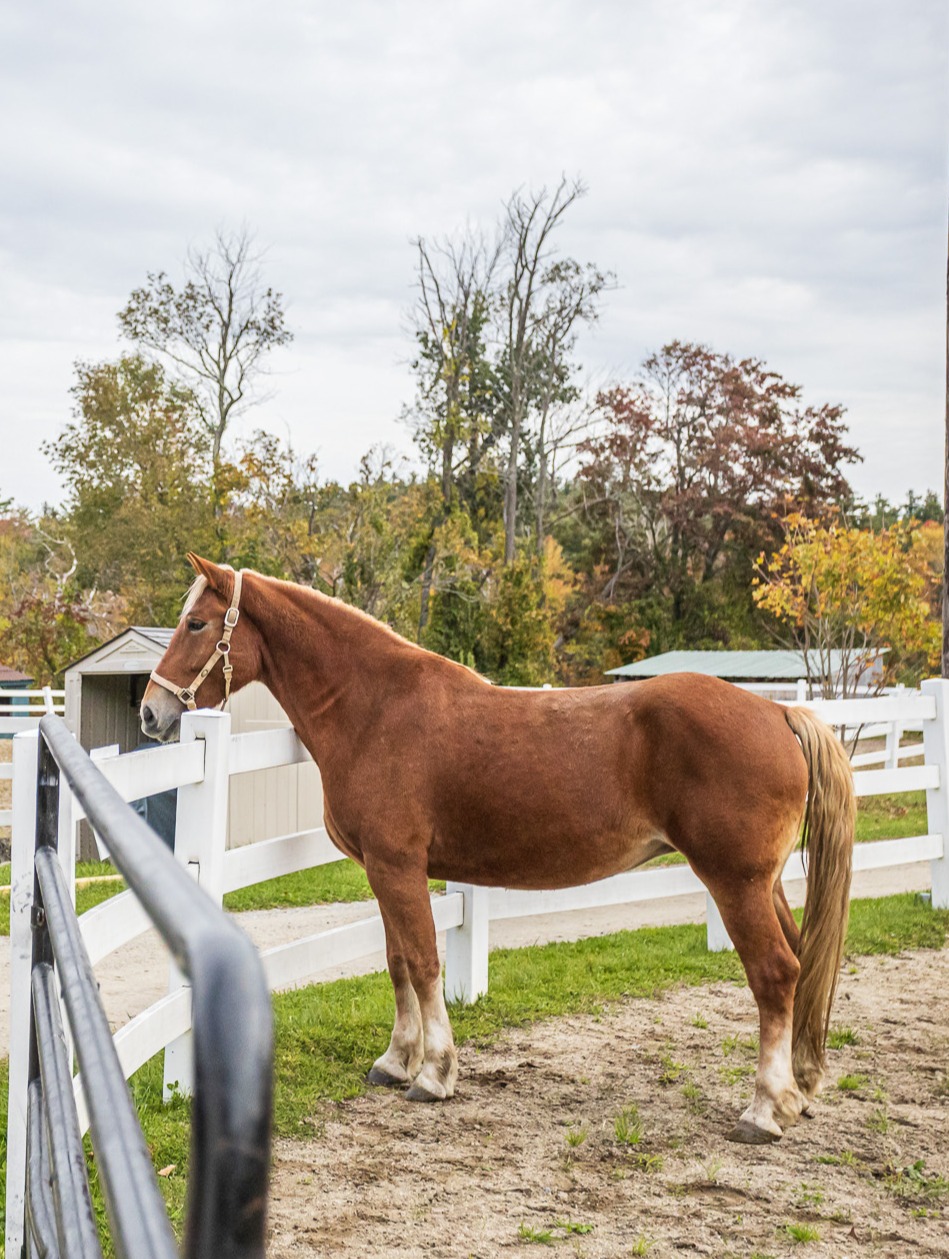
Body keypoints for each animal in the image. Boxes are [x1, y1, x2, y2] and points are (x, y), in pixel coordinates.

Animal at [141, 554, 855, 1144]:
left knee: (775, 974)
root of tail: (779, 714)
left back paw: (762, 1111)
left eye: (197, 623)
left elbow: (424, 962)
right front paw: (395, 1061)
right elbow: (397, 963)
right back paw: (797, 1093)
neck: (375, 708)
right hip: (764, 884)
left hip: (735, 883)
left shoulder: (398, 866)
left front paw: (434, 1074)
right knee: (800, 963)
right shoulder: (383, 871)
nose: (151, 713)